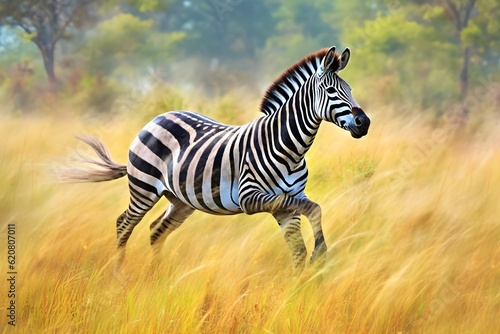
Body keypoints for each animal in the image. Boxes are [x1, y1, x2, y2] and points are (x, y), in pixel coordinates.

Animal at [60, 46, 370, 272]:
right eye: (331, 91)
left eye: (351, 90)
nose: (364, 122)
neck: (290, 149)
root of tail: (157, 118)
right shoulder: (252, 197)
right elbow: (313, 210)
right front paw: (318, 257)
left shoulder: (289, 203)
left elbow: (300, 243)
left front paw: (301, 288)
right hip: (143, 188)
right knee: (124, 224)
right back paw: (119, 275)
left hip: (181, 201)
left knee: (156, 230)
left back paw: (157, 276)